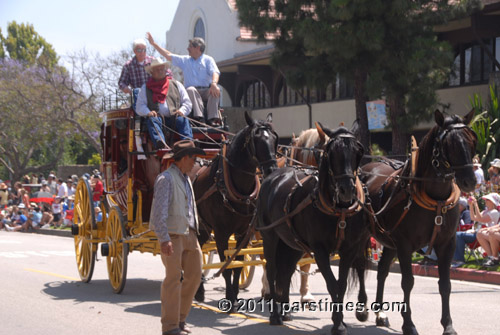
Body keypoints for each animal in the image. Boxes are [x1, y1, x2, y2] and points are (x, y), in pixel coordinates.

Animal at [192, 111, 278, 312]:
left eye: (274, 139)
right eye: (256, 140)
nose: (272, 169)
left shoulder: (243, 232)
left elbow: (238, 263)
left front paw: (236, 297)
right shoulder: (222, 233)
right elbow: (226, 265)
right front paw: (230, 297)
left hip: (205, 227)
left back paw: (199, 291)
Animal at [258, 122, 368, 334]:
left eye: (358, 151)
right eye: (331, 153)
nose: (347, 190)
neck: (339, 210)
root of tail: (271, 177)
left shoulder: (349, 249)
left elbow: (341, 285)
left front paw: (340, 321)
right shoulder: (320, 250)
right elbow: (332, 285)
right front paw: (337, 324)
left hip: (292, 244)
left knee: (286, 270)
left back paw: (285, 311)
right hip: (270, 237)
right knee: (273, 270)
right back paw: (275, 314)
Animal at [362, 110, 474, 335]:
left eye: (471, 140)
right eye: (450, 144)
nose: (471, 180)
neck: (435, 199)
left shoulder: (447, 243)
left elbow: (445, 284)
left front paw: (448, 325)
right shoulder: (405, 245)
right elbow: (407, 282)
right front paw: (408, 324)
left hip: (389, 241)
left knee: (382, 271)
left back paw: (380, 314)